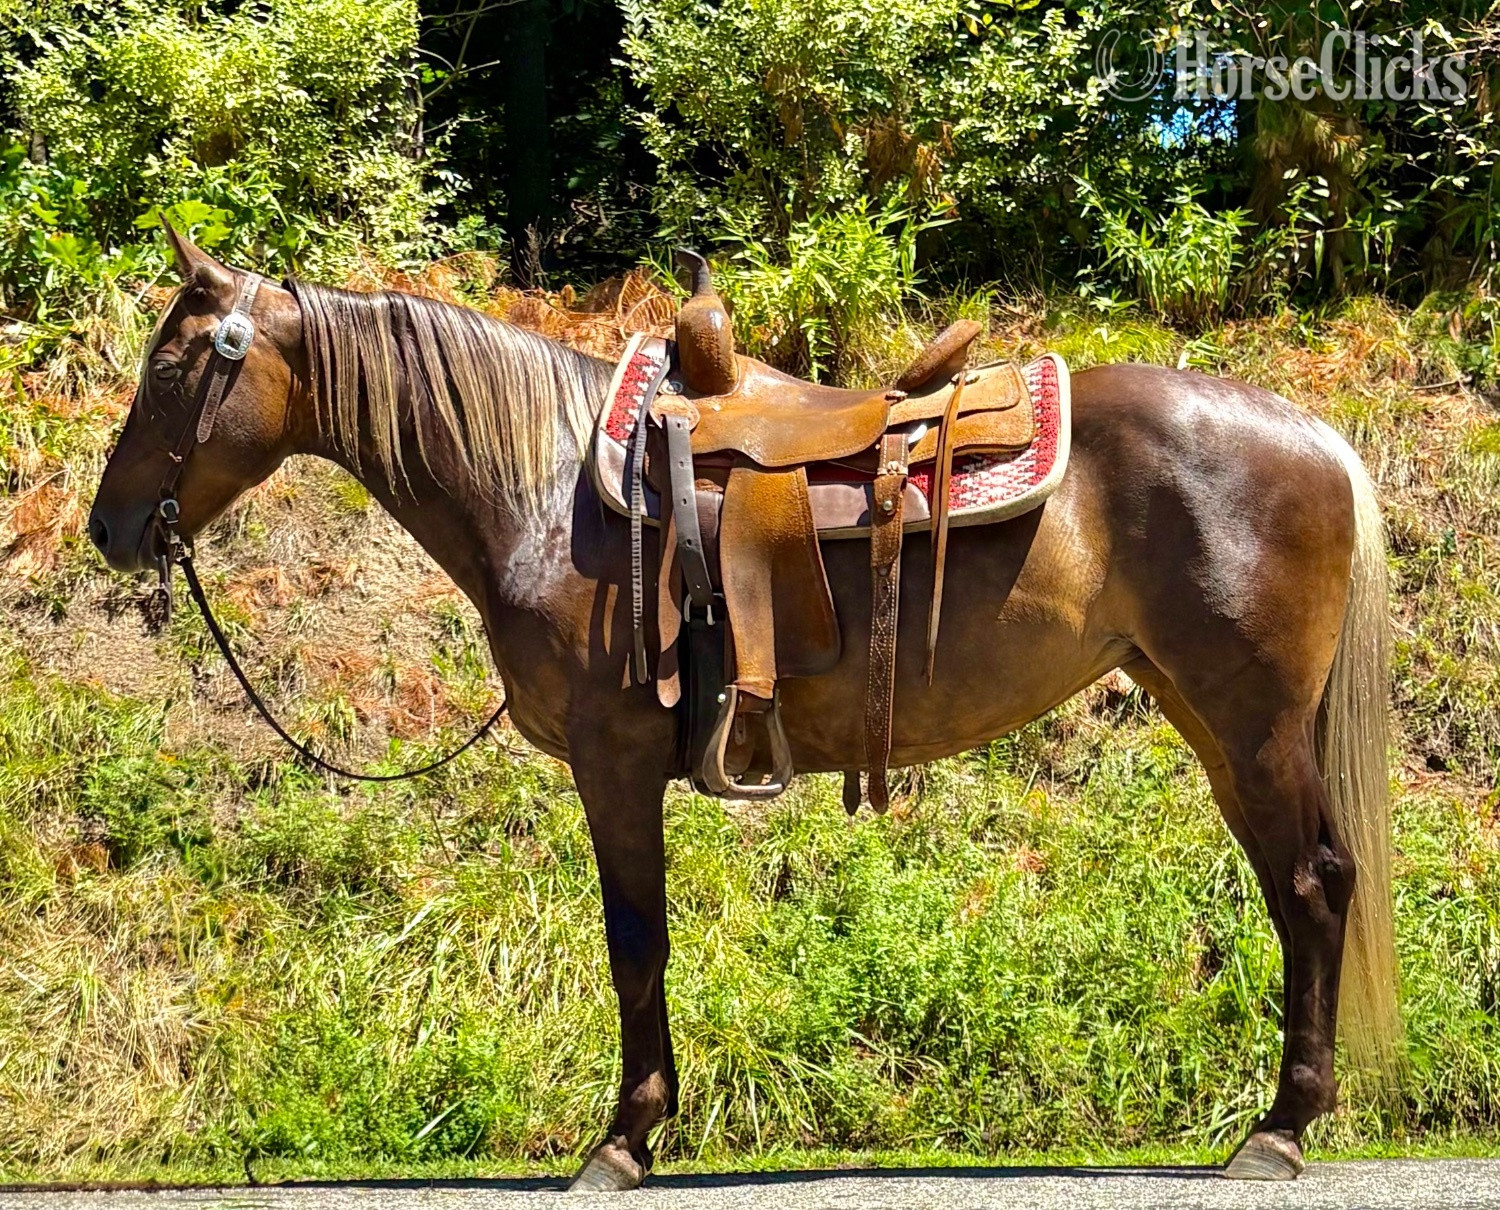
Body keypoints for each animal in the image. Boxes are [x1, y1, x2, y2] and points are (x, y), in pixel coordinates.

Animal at [89, 226, 1401, 1190]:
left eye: (173, 368)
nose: (109, 528)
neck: (545, 482)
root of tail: (1317, 435)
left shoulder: (613, 761)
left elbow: (633, 939)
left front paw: (624, 1139)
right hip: (1214, 720)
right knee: (1297, 889)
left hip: (1252, 723)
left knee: (1311, 885)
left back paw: (1280, 1128)